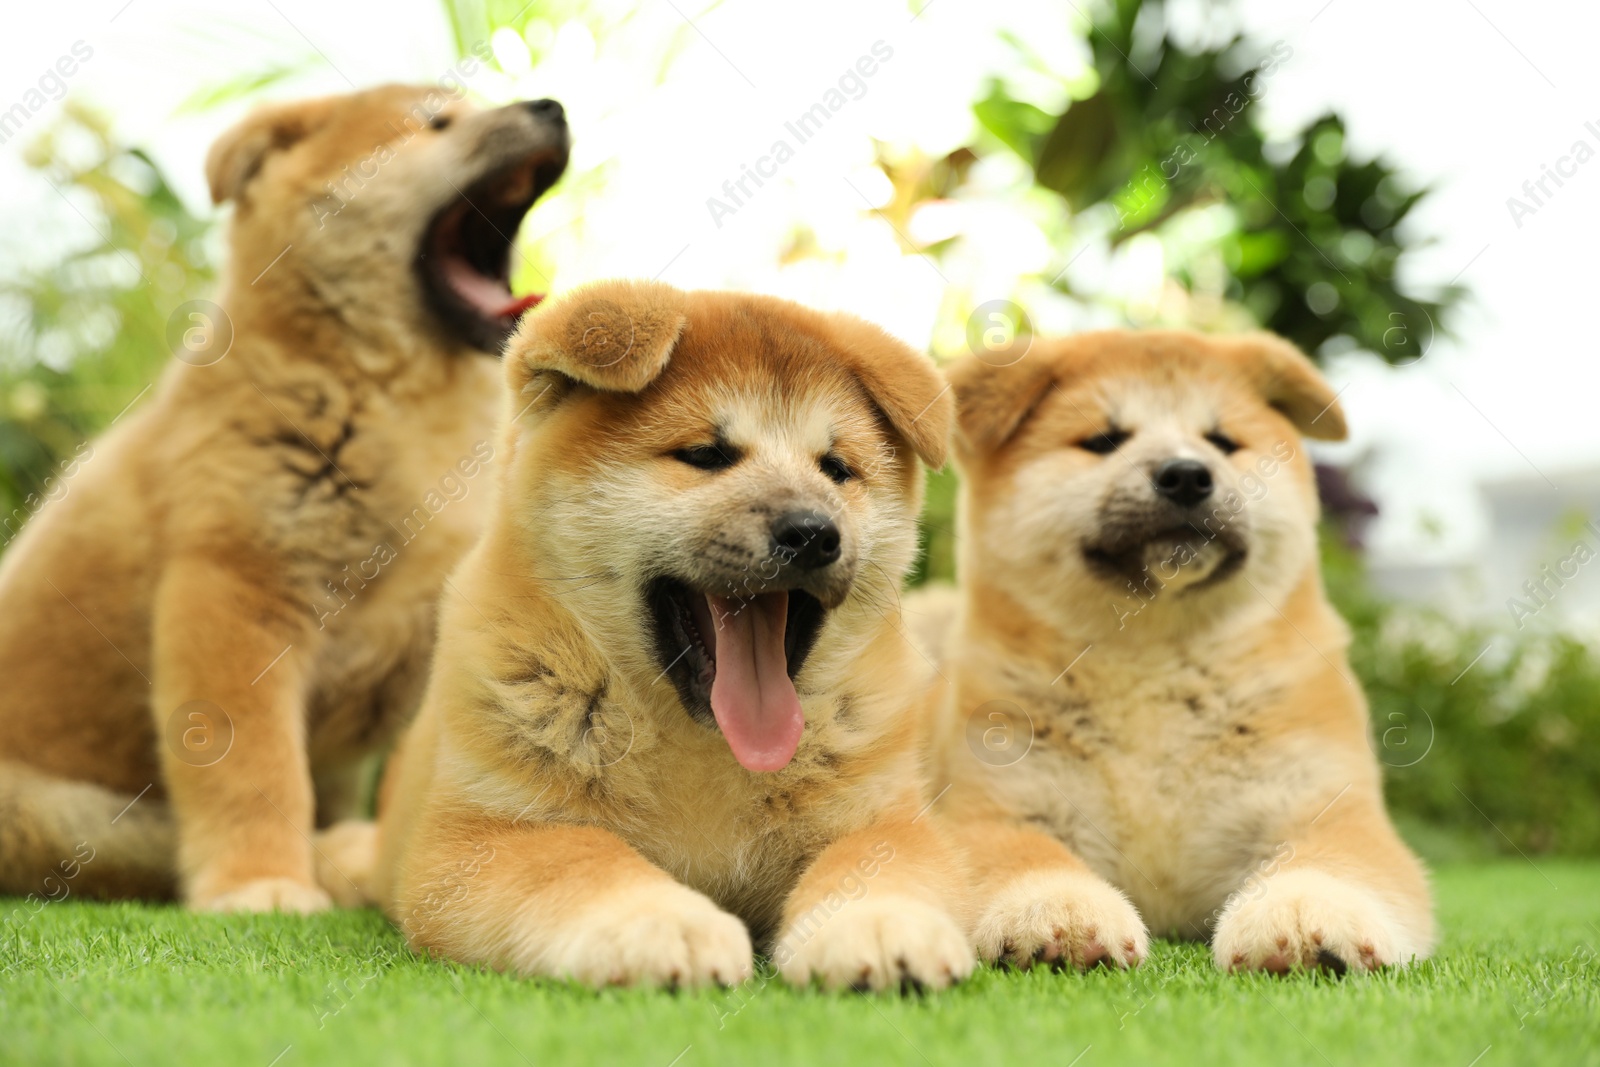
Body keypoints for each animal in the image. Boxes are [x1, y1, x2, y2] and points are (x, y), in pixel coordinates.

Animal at [0, 87, 572, 915]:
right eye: (435, 121)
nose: (552, 105)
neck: (392, 404)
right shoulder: (236, 596)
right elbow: (256, 771)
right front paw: (261, 883)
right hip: (52, 810)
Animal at [374, 279, 992, 991]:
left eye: (836, 469)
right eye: (705, 456)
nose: (813, 532)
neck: (703, 746)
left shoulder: (888, 817)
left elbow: (874, 867)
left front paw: (883, 922)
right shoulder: (479, 838)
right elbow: (581, 857)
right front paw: (663, 923)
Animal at [928, 331, 1440, 979]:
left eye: (1222, 442)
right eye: (1103, 441)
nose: (1186, 475)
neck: (1153, 659)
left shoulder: (1322, 807)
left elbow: (1328, 863)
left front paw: (1305, 913)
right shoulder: (997, 809)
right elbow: (1025, 857)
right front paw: (1058, 911)